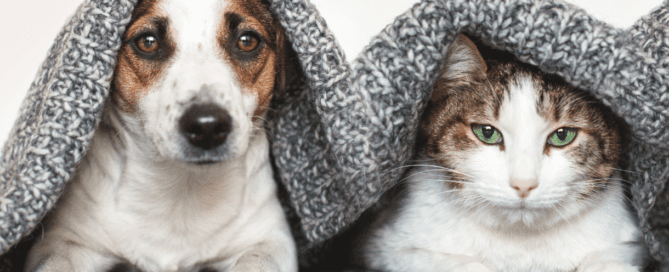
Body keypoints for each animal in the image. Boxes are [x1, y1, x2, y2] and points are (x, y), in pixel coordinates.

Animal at [26, 0, 296, 272]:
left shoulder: (271, 240)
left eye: (247, 40)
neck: (183, 189)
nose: (207, 126)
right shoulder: (63, 241)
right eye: (148, 42)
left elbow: (255, 260)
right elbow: (56, 262)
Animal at [358, 35, 648, 272]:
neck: (519, 243)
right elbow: (436, 260)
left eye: (562, 135)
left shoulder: (628, 240)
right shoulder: (383, 245)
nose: (523, 184)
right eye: (486, 132)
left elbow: (613, 255)